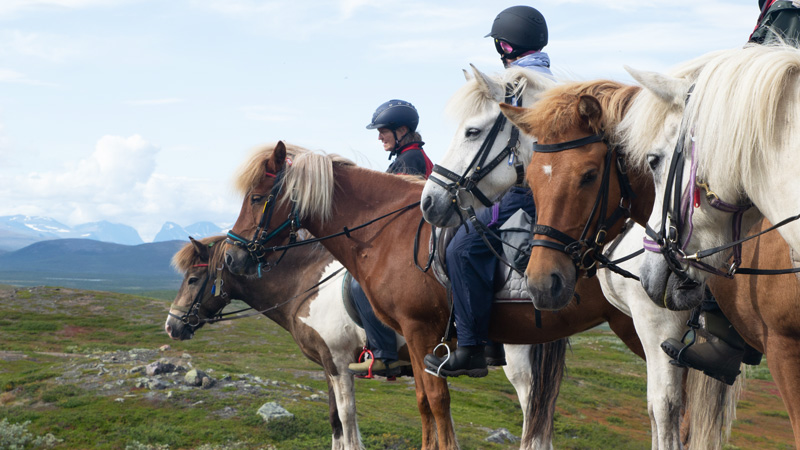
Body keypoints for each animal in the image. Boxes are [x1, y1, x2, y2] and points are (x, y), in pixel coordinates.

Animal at [164, 236, 580, 450]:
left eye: (192, 279)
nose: (172, 326)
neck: (305, 286)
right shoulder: (328, 365)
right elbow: (334, 418)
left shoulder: (338, 362)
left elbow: (347, 416)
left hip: (522, 368)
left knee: (532, 414)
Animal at [223, 142, 644, 450]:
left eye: (257, 197)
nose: (231, 256)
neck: (387, 232)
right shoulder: (410, 341)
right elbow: (424, 400)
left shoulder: (419, 331)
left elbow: (438, 401)